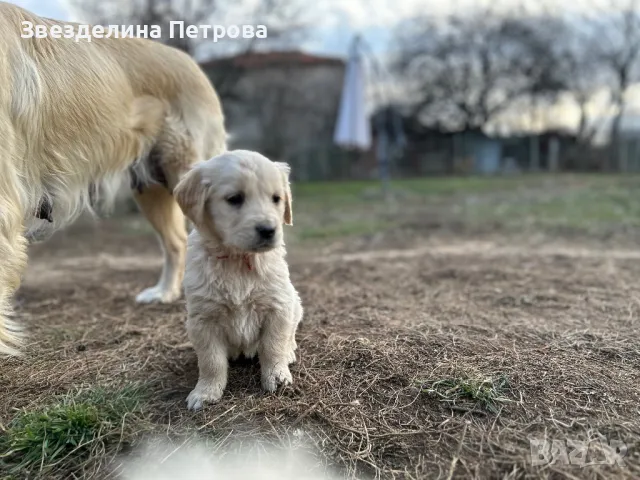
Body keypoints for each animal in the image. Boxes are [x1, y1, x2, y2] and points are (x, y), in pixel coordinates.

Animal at [174, 149, 304, 408]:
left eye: (276, 198)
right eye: (235, 198)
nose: (268, 230)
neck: (238, 260)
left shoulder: (278, 306)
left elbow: (273, 345)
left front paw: (277, 376)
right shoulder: (203, 319)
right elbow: (211, 360)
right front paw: (206, 391)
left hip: (295, 302)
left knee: (291, 333)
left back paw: (290, 351)